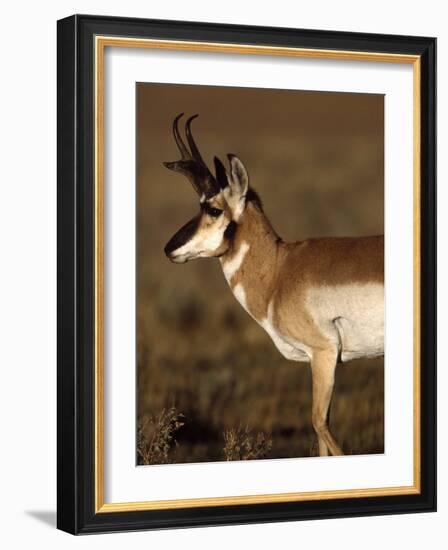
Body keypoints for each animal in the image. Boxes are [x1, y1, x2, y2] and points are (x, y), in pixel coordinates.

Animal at [164, 112, 384, 458]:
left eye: (213, 208)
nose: (169, 249)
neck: (280, 269)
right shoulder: (319, 361)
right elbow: (321, 434)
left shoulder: (323, 353)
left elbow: (319, 423)